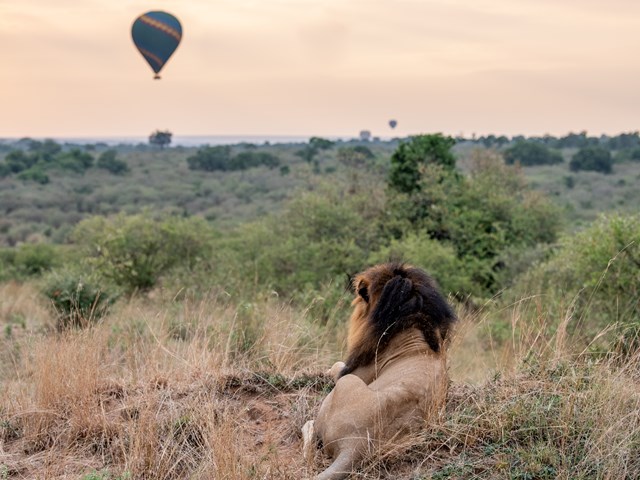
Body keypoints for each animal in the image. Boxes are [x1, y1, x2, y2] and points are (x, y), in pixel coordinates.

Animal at [304, 264, 458, 478]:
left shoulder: (354, 371)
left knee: (310, 430)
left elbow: (335, 366)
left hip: (347, 383)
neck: (413, 331)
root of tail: (357, 443)